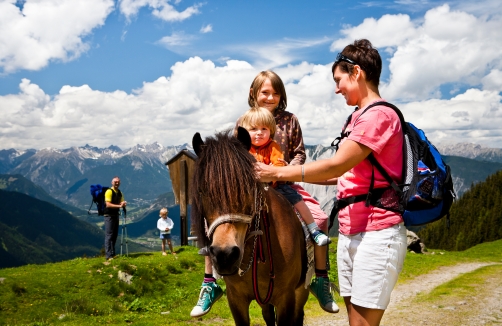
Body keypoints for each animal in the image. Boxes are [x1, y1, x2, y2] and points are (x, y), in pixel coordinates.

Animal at [192, 127, 310, 326]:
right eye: (202, 191)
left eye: (248, 188)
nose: (225, 255)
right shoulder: (236, 299)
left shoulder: (286, 298)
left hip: (301, 293)